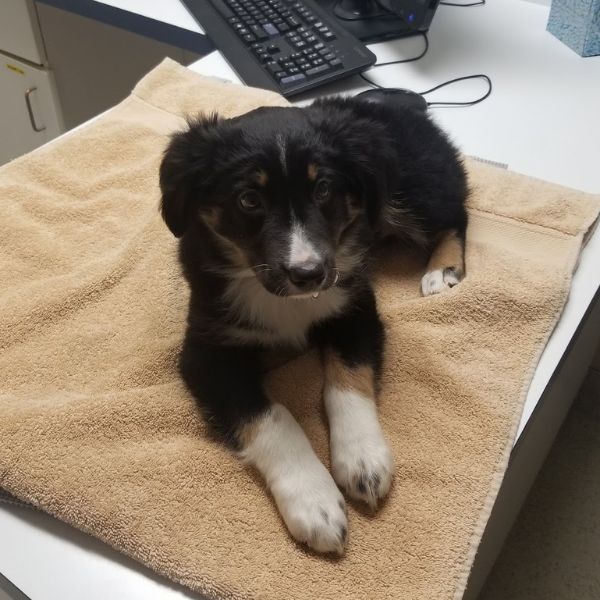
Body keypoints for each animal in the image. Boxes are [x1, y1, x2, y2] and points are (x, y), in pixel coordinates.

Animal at [159, 96, 468, 556]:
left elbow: (346, 381)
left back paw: (443, 269)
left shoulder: (356, 309)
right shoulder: (207, 352)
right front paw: (315, 503)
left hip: (410, 188)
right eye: (249, 199)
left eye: (323, 189)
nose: (309, 274)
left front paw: (361, 459)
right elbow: (273, 417)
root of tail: (399, 100)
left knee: (454, 213)